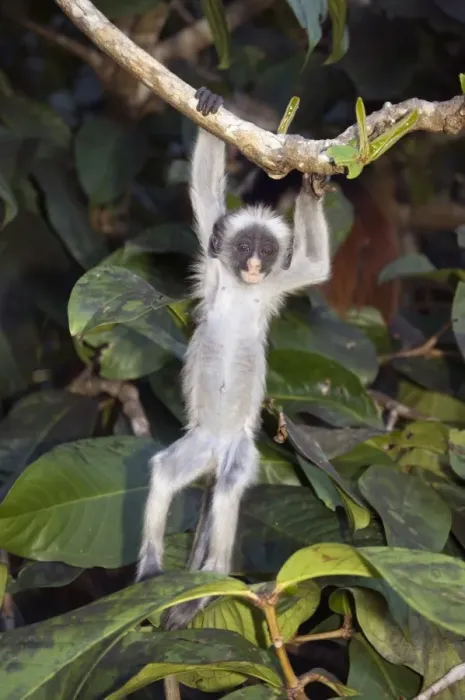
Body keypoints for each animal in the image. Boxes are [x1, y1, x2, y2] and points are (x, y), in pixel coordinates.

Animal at [136, 87, 332, 630]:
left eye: (265, 248)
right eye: (244, 245)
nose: (254, 264)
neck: (245, 289)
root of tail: (219, 446)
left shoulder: (277, 284)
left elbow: (316, 266)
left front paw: (311, 184)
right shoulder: (213, 265)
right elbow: (205, 198)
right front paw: (209, 104)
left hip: (241, 454)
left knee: (227, 488)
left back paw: (211, 581)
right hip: (198, 445)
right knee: (164, 471)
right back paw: (153, 569)